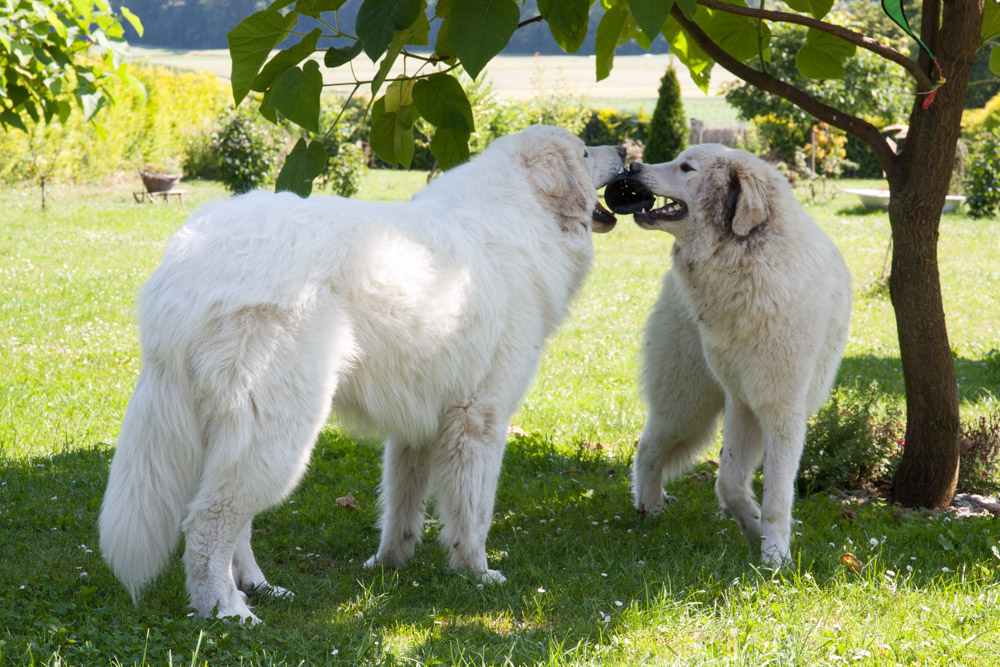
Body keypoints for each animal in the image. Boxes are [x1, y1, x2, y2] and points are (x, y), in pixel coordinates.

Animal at [101, 126, 624, 628]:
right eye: (583, 152)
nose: (624, 150)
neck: (523, 212)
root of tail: (185, 265)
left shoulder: (418, 425)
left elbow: (402, 504)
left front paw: (390, 564)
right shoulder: (480, 420)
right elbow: (473, 512)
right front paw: (477, 573)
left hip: (239, 431)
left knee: (233, 520)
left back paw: (258, 587)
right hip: (279, 428)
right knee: (210, 522)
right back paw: (227, 610)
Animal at [624, 144, 852, 568]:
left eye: (686, 168)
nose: (632, 165)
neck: (743, 262)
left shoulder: (778, 408)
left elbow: (770, 492)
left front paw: (773, 553)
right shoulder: (741, 401)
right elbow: (730, 479)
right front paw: (755, 527)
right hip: (688, 403)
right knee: (648, 448)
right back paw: (650, 509)